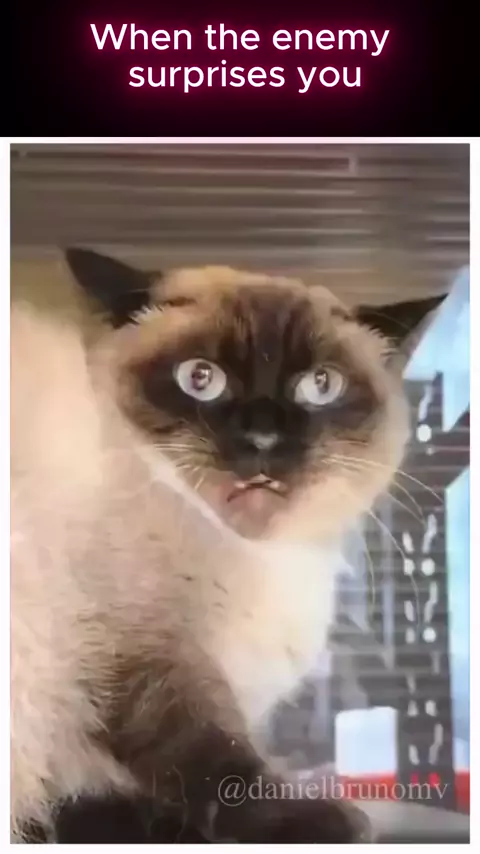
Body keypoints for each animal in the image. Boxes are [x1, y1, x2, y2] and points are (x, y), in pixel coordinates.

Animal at [10, 249, 444, 842]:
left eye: (321, 384)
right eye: (201, 379)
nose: (262, 440)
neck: (259, 558)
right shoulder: (144, 655)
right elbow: (217, 760)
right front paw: (317, 821)